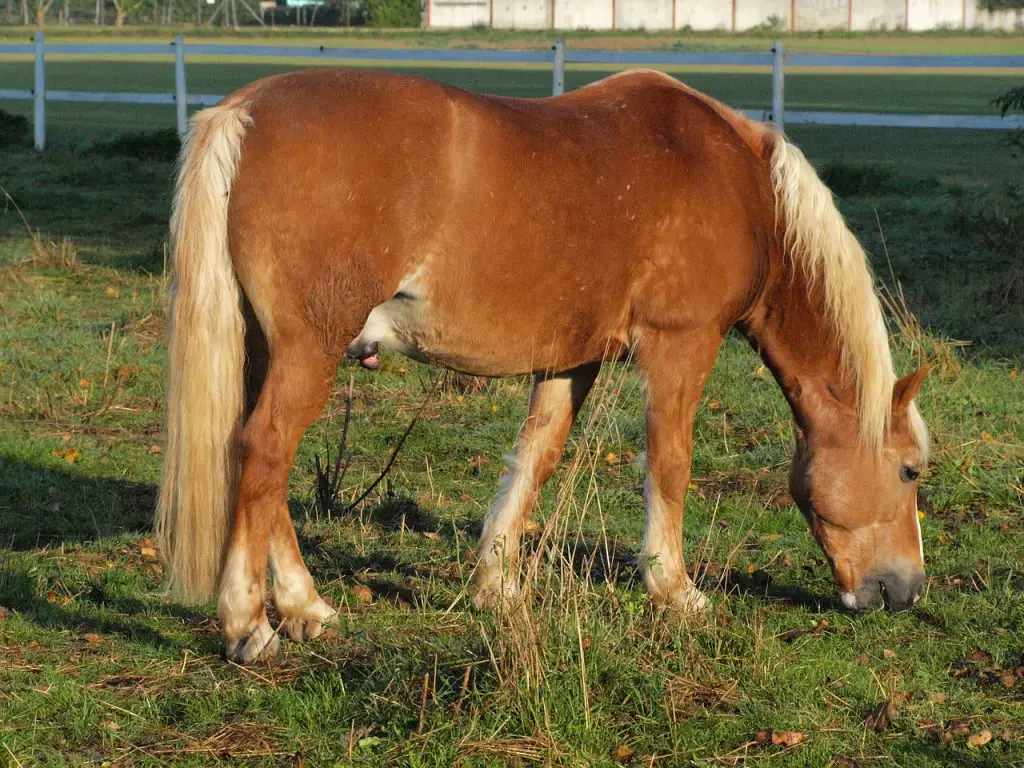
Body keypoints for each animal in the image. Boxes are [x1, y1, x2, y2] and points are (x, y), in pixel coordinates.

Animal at [155, 69, 933, 663]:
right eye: (909, 471)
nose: (906, 590)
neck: (737, 183)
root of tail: (245, 111)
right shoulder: (682, 346)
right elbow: (669, 463)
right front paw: (675, 591)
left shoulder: (571, 359)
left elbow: (536, 457)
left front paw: (496, 585)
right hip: (309, 349)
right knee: (263, 453)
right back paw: (251, 623)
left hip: (269, 350)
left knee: (259, 468)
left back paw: (306, 607)